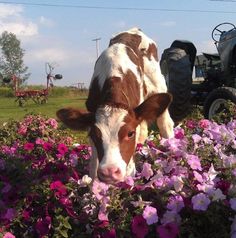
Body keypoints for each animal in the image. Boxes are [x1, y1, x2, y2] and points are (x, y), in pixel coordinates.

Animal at [57, 27, 174, 184]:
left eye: (130, 133)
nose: (110, 172)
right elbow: (93, 164)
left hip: (158, 83)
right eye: (94, 134)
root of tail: (134, 29)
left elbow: (130, 168)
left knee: (165, 123)